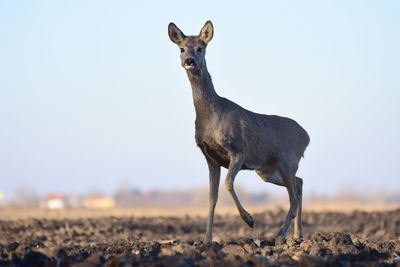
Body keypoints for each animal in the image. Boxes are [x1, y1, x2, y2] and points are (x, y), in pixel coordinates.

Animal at [167, 21, 310, 246]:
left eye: (200, 48)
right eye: (181, 49)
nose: (189, 61)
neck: (212, 115)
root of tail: (307, 136)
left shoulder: (238, 152)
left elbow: (228, 184)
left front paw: (249, 219)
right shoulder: (211, 158)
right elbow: (212, 197)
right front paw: (207, 241)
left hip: (287, 160)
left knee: (293, 197)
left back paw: (280, 236)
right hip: (268, 170)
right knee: (299, 183)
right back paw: (297, 235)